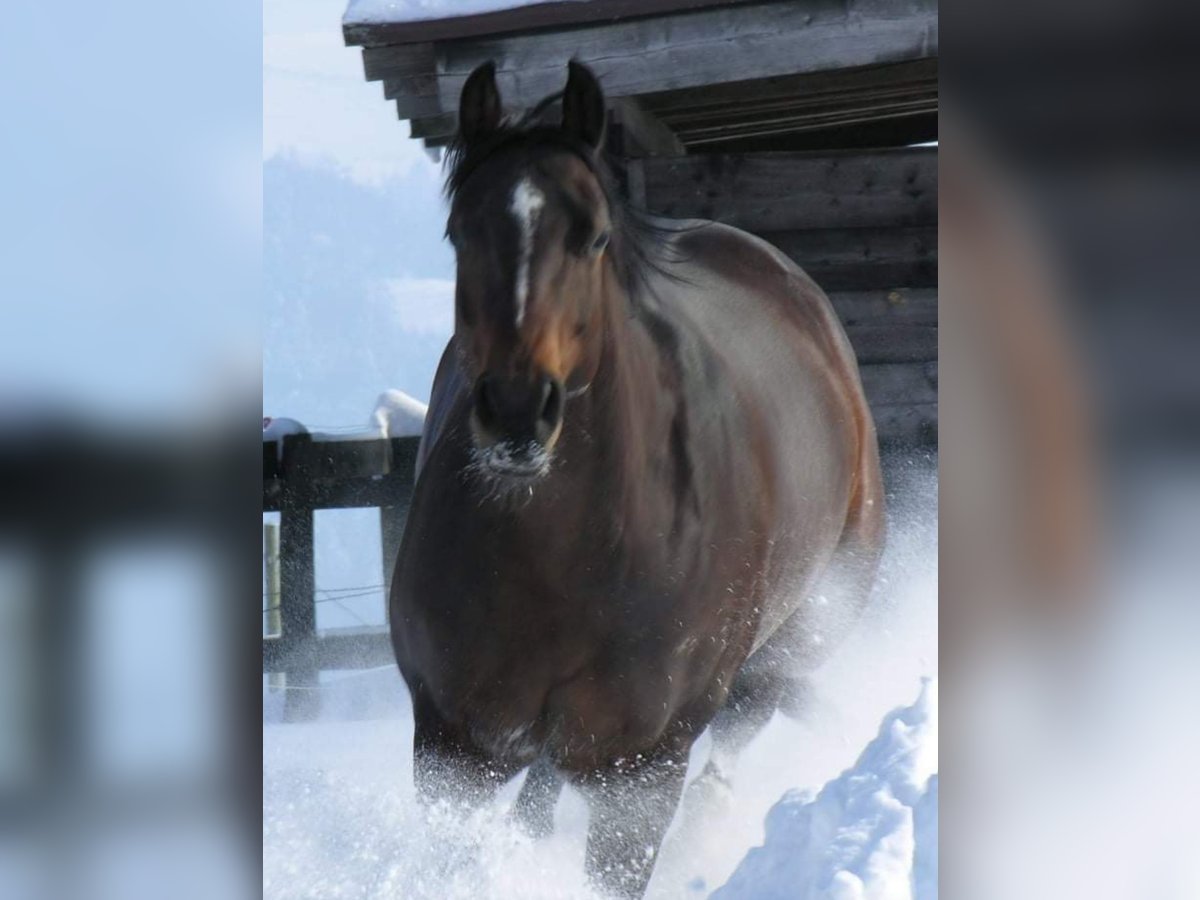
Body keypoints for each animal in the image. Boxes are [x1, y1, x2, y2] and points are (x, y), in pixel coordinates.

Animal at [388, 61, 888, 897]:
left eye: (591, 236)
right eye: (461, 231)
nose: (517, 411)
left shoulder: (638, 771)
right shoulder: (453, 746)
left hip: (788, 649)